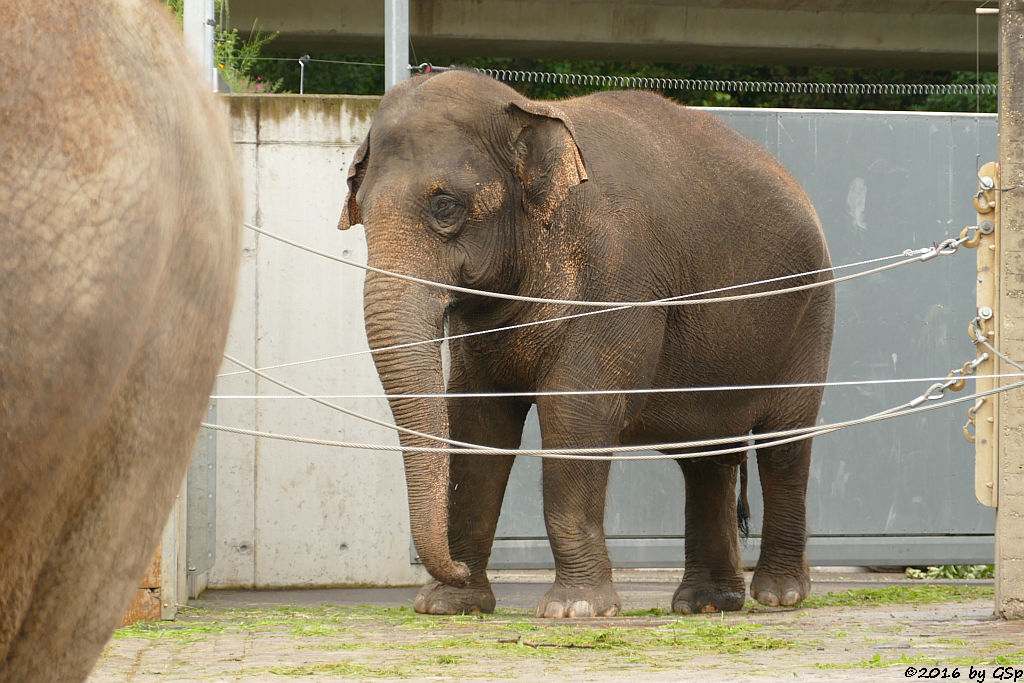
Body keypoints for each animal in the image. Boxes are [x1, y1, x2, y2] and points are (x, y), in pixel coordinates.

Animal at [339, 70, 835, 618]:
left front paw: (573, 609)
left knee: (785, 443)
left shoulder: (617, 273)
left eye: (444, 205)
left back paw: (780, 595)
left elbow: (576, 409)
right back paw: (707, 603)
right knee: (706, 456)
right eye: (362, 211)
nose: (457, 568)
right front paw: (449, 604)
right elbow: (476, 419)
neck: (532, 109)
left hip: (810, 315)